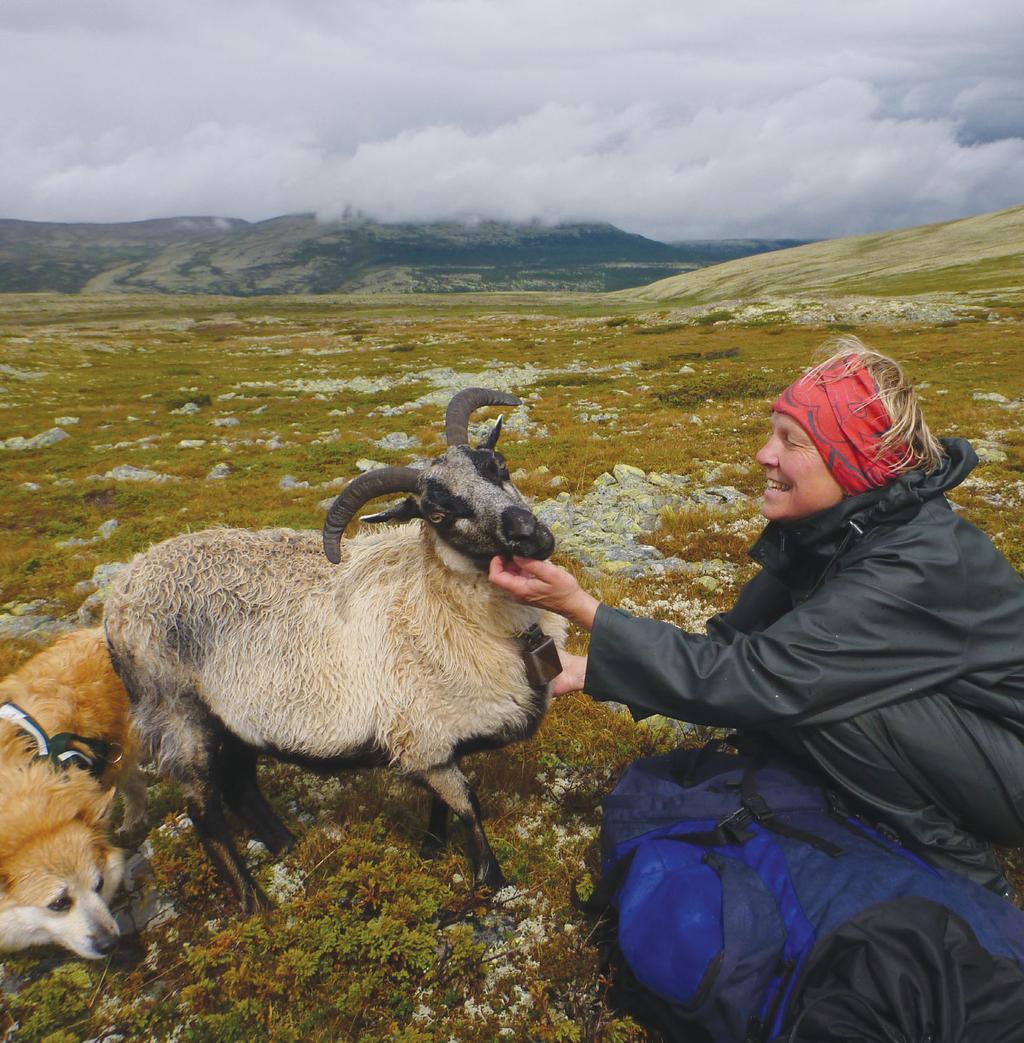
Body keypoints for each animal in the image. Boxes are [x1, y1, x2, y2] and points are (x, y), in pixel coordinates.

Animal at [104, 387, 567, 909]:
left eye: (499, 465)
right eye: (437, 513)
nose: (530, 535)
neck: (436, 601)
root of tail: (118, 594)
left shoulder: (438, 736)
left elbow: (442, 802)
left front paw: (431, 847)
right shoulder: (421, 736)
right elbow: (469, 806)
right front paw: (491, 880)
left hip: (235, 718)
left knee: (241, 784)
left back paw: (286, 844)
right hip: (177, 714)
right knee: (205, 811)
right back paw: (254, 902)